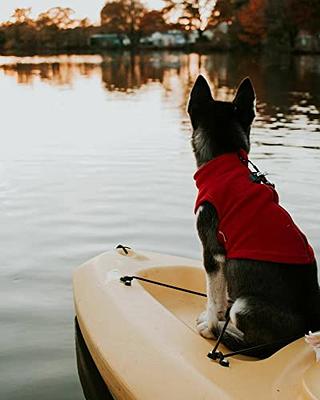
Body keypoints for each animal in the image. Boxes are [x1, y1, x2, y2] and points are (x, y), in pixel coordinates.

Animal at [188, 76, 320, 358]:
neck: (226, 162)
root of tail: (301, 333)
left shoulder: (213, 252)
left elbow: (213, 295)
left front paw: (210, 321)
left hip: (245, 304)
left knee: (253, 344)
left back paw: (221, 331)